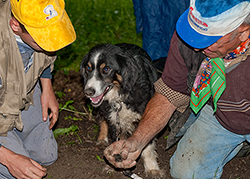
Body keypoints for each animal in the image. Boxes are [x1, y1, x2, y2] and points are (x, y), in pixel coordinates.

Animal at [81, 43, 165, 178]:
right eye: (88, 68)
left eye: (106, 70)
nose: (88, 92)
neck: (120, 95)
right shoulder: (114, 119)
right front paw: (113, 165)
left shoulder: (145, 116)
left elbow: (148, 145)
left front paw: (152, 168)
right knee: (102, 119)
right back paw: (102, 139)